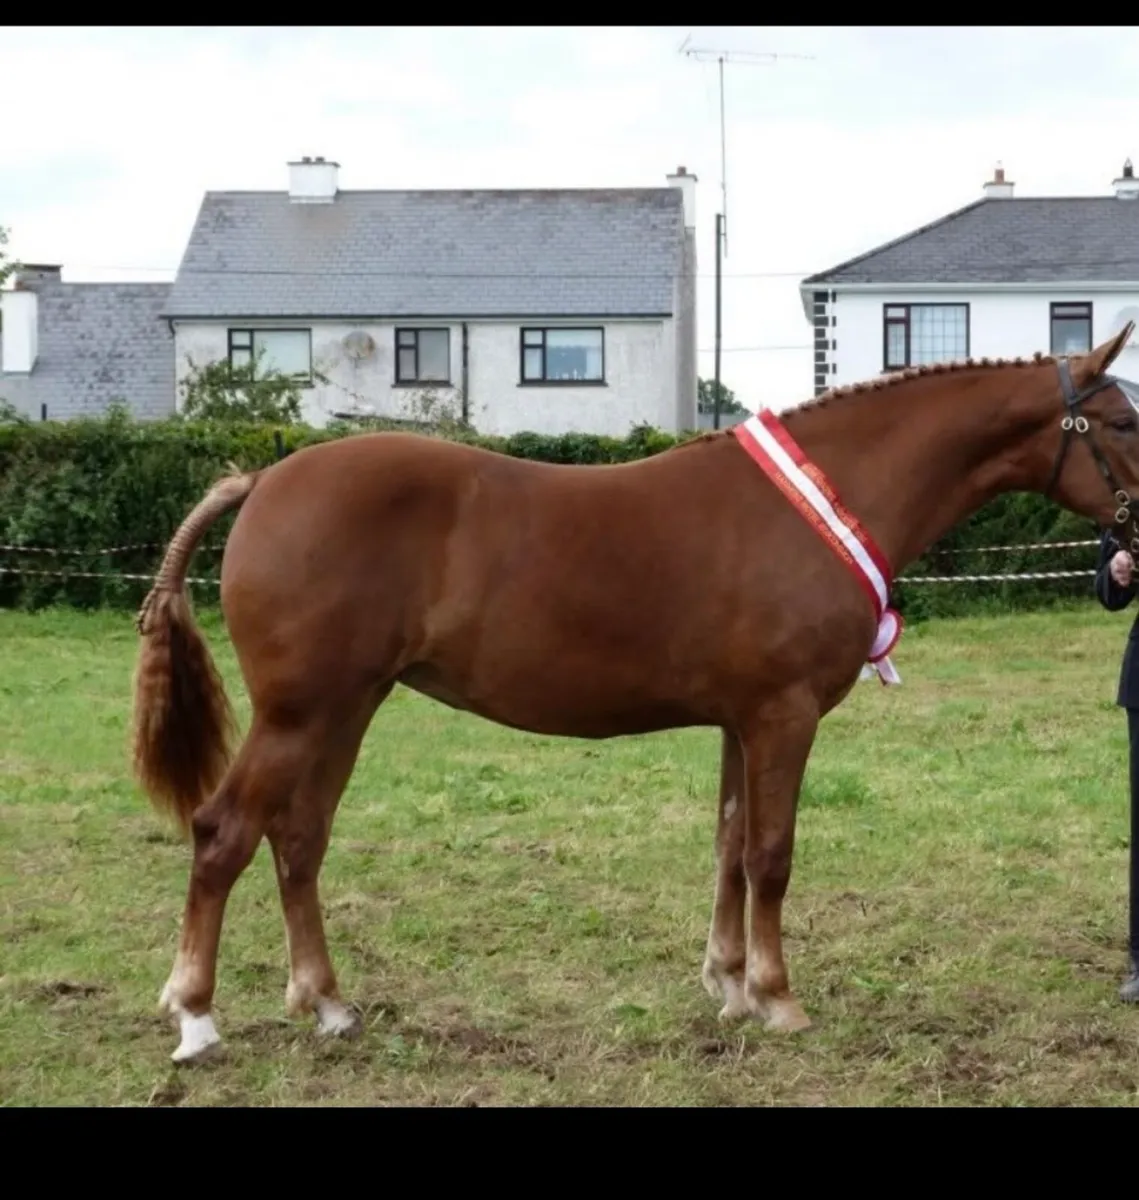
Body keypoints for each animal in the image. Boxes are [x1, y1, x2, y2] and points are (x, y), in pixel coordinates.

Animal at [131, 323, 1139, 1064]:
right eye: (1124, 423)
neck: (819, 501)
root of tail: (262, 478)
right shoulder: (782, 717)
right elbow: (770, 854)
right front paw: (777, 999)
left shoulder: (741, 722)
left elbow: (730, 847)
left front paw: (730, 987)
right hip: (300, 714)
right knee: (225, 833)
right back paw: (196, 1018)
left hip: (345, 709)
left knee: (298, 839)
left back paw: (329, 1004)